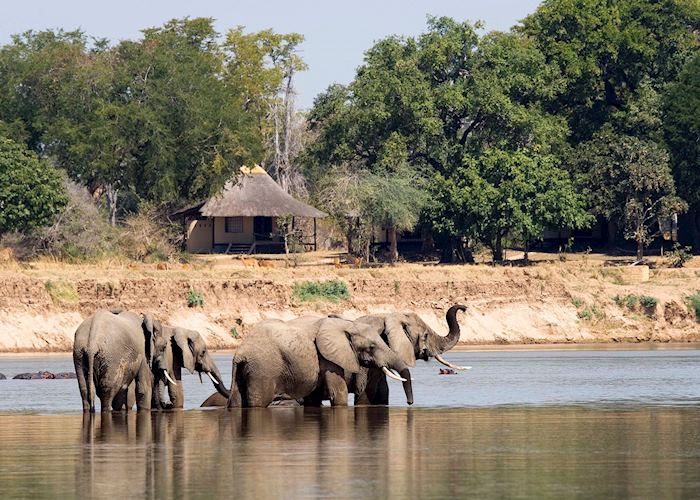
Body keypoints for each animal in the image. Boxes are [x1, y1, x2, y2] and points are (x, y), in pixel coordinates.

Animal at [227, 318, 412, 408]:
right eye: (371, 347)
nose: (410, 404)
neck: (346, 325)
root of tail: (240, 353)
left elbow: (313, 399)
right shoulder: (328, 359)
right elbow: (339, 394)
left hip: (246, 370)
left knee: (236, 402)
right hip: (262, 370)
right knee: (258, 402)